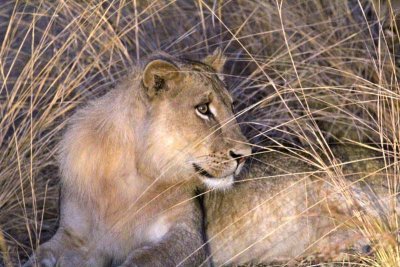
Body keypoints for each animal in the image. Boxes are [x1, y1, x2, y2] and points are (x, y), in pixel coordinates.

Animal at [25, 49, 252, 266]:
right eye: (203, 108)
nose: (244, 155)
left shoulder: (191, 237)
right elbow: (41, 252)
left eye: (232, 106)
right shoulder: (72, 234)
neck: (133, 172)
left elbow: (146, 257)